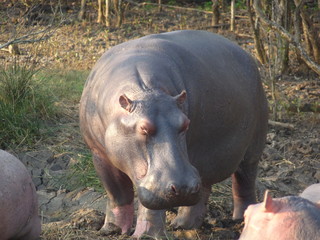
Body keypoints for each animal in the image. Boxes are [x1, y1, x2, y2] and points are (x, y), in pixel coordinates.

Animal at [79, 30, 268, 238]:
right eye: (143, 128)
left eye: (185, 124)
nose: (184, 188)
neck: (146, 91)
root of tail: (246, 55)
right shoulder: (99, 154)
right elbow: (117, 194)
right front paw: (111, 230)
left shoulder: (157, 184)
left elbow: (151, 207)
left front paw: (147, 235)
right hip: (201, 164)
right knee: (204, 188)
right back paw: (182, 225)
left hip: (252, 149)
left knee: (244, 181)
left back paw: (242, 219)